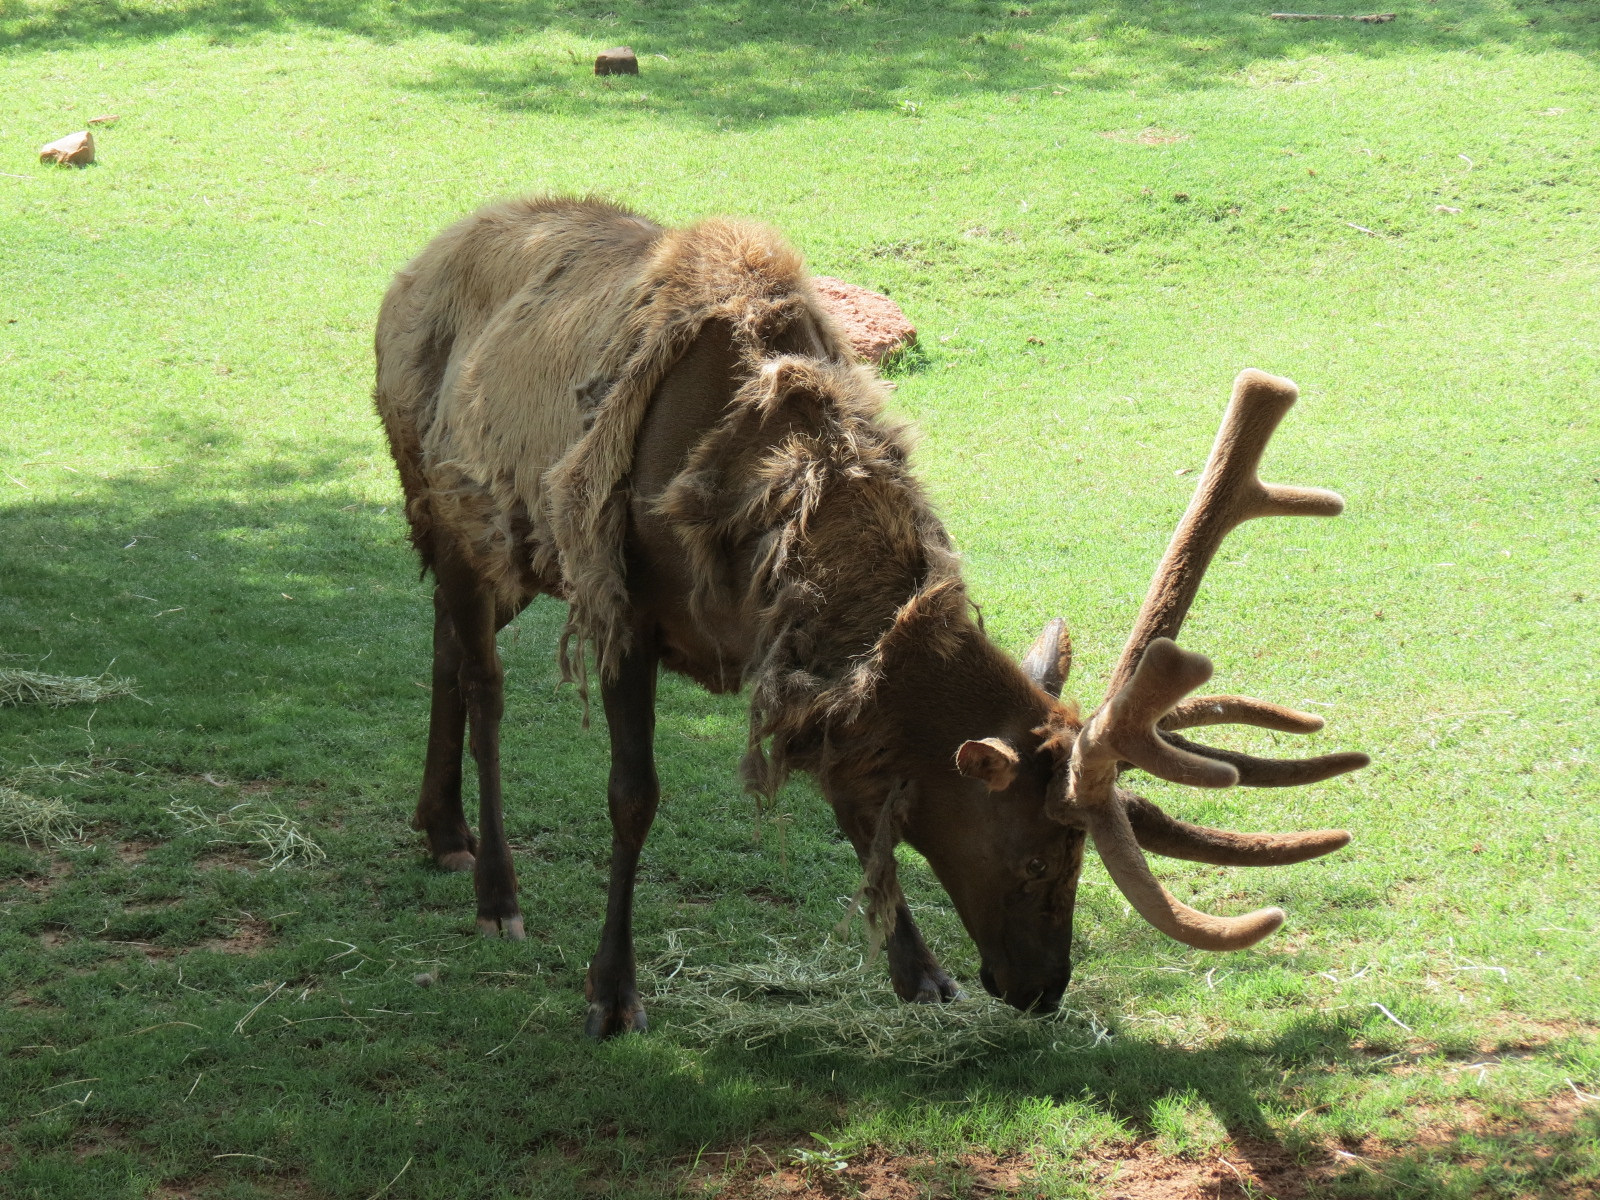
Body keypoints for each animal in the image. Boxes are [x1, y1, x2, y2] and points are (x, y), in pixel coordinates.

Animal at [373, 196, 1368, 1038]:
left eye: (1081, 857)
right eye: (1038, 859)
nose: (1044, 988)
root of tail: (415, 266)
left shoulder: (803, 671)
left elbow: (857, 798)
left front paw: (920, 971)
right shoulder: (624, 604)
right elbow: (634, 795)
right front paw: (612, 993)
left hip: (510, 557)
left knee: (442, 643)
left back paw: (440, 827)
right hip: (451, 509)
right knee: (483, 680)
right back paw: (495, 888)